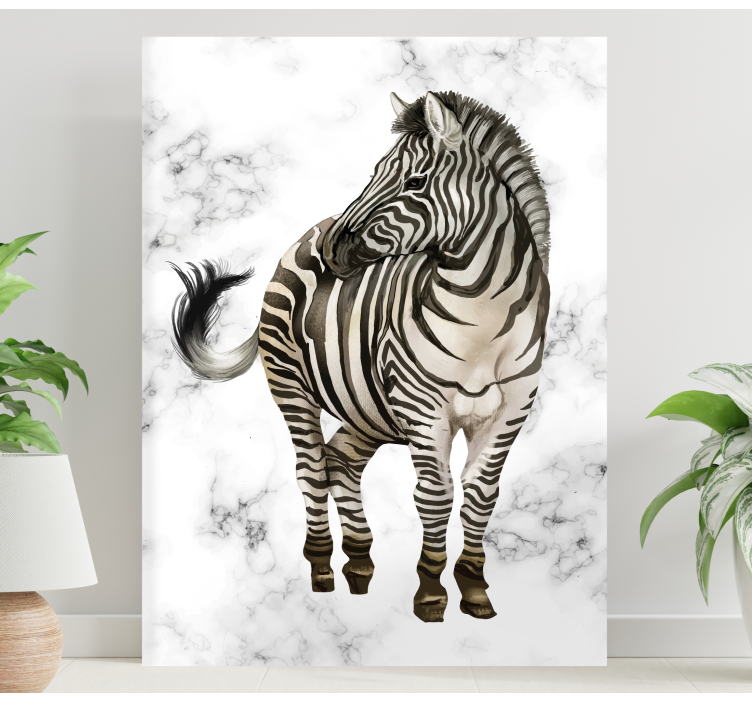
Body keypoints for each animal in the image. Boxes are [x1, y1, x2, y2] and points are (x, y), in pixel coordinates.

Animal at [171, 91, 550, 623]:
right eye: (376, 171)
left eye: (415, 182)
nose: (335, 247)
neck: (484, 321)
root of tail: (306, 234)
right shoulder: (423, 409)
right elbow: (435, 496)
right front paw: (431, 594)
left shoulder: (510, 412)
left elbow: (480, 497)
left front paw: (474, 590)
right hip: (293, 385)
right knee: (312, 469)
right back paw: (322, 569)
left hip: (369, 407)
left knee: (340, 462)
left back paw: (359, 561)